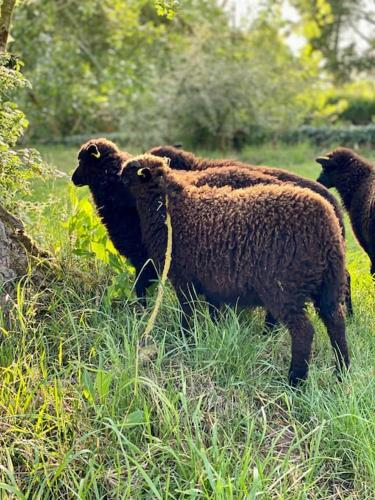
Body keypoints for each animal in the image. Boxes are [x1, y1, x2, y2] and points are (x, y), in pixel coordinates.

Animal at [122, 154, 352, 384]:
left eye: (130, 170)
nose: (119, 175)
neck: (168, 209)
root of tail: (327, 228)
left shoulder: (184, 280)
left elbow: (187, 314)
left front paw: (186, 340)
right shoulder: (213, 282)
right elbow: (214, 313)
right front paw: (215, 335)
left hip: (284, 288)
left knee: (303, 331)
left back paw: (295, 381)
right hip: (330, 283)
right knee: (336, 322)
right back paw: (342, 371)